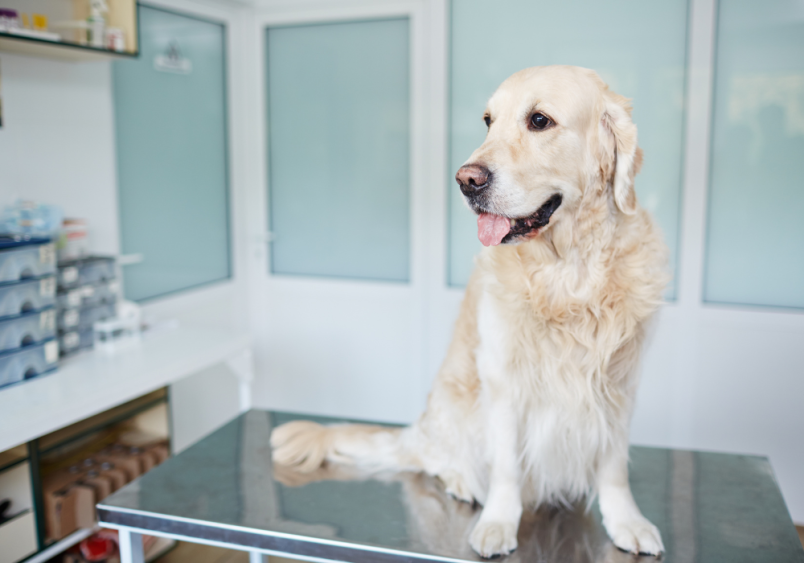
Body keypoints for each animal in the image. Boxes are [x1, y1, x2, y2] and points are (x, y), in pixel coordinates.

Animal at [274, 67, 668, 560]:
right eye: (488, 121)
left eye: (540, 120)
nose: (466, 179)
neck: (568, 275)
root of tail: (417, 430)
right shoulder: (502, 379)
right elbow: (506, 467)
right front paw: (498, 522)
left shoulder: (621, 382)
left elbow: (614, 466)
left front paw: (626, 522)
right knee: (438, 460)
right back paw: (461, 481)